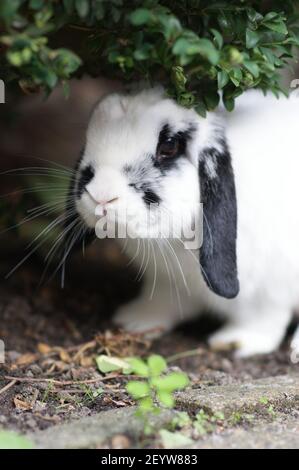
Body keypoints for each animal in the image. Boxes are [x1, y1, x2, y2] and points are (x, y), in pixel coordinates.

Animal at [69, 86, 299, 356]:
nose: (101, 196)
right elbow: (162, 304)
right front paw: (135, 320)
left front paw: (236, 341)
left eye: (169, 147)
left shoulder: (269, 292)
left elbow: (263, 318)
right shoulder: (167, 282)